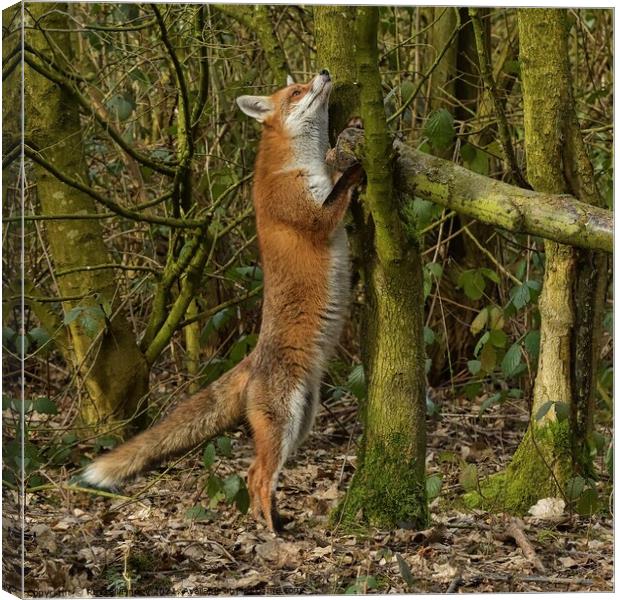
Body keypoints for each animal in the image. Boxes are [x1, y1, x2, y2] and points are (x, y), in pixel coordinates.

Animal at [82, 68, 364, 532]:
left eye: (304, 81)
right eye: (297, 91)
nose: (324, 72)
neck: (296, 163)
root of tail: (252, 360)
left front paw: (350, 138)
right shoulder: (313, 217)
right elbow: (340, 190)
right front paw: (357, 166)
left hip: (301, 422)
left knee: (257, 473)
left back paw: (274, 520)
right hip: (284, 422)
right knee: (255, 476)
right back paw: (270, 529)